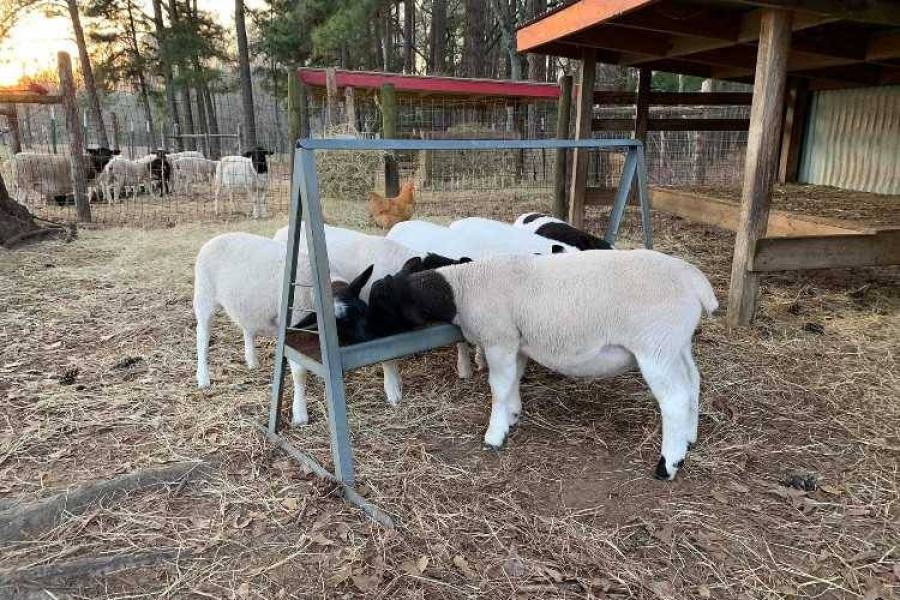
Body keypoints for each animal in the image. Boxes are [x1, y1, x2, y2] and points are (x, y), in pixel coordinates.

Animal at [193, 232, 374, 426]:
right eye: (341, 324)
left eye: (364, 311)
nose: (369, 339)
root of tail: (215, 238)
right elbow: (299, 372)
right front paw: (300, 414)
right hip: (204, 296)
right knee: (202, 336)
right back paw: (203, 378)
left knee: (247, 328)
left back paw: (252, 362)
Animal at [366, 249, 718, 481]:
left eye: (382, 303)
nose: (367, 335)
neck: (463, 289)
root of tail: (694, 281)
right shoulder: (516, 343)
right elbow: (513, 380)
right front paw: (512, 416)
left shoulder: (499, 339)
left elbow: (499, 386)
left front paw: (494, 435)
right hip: (677, 344)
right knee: (693, 383)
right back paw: (689, 439)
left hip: (655, 346)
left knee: (674, 400)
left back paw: (668, 464)